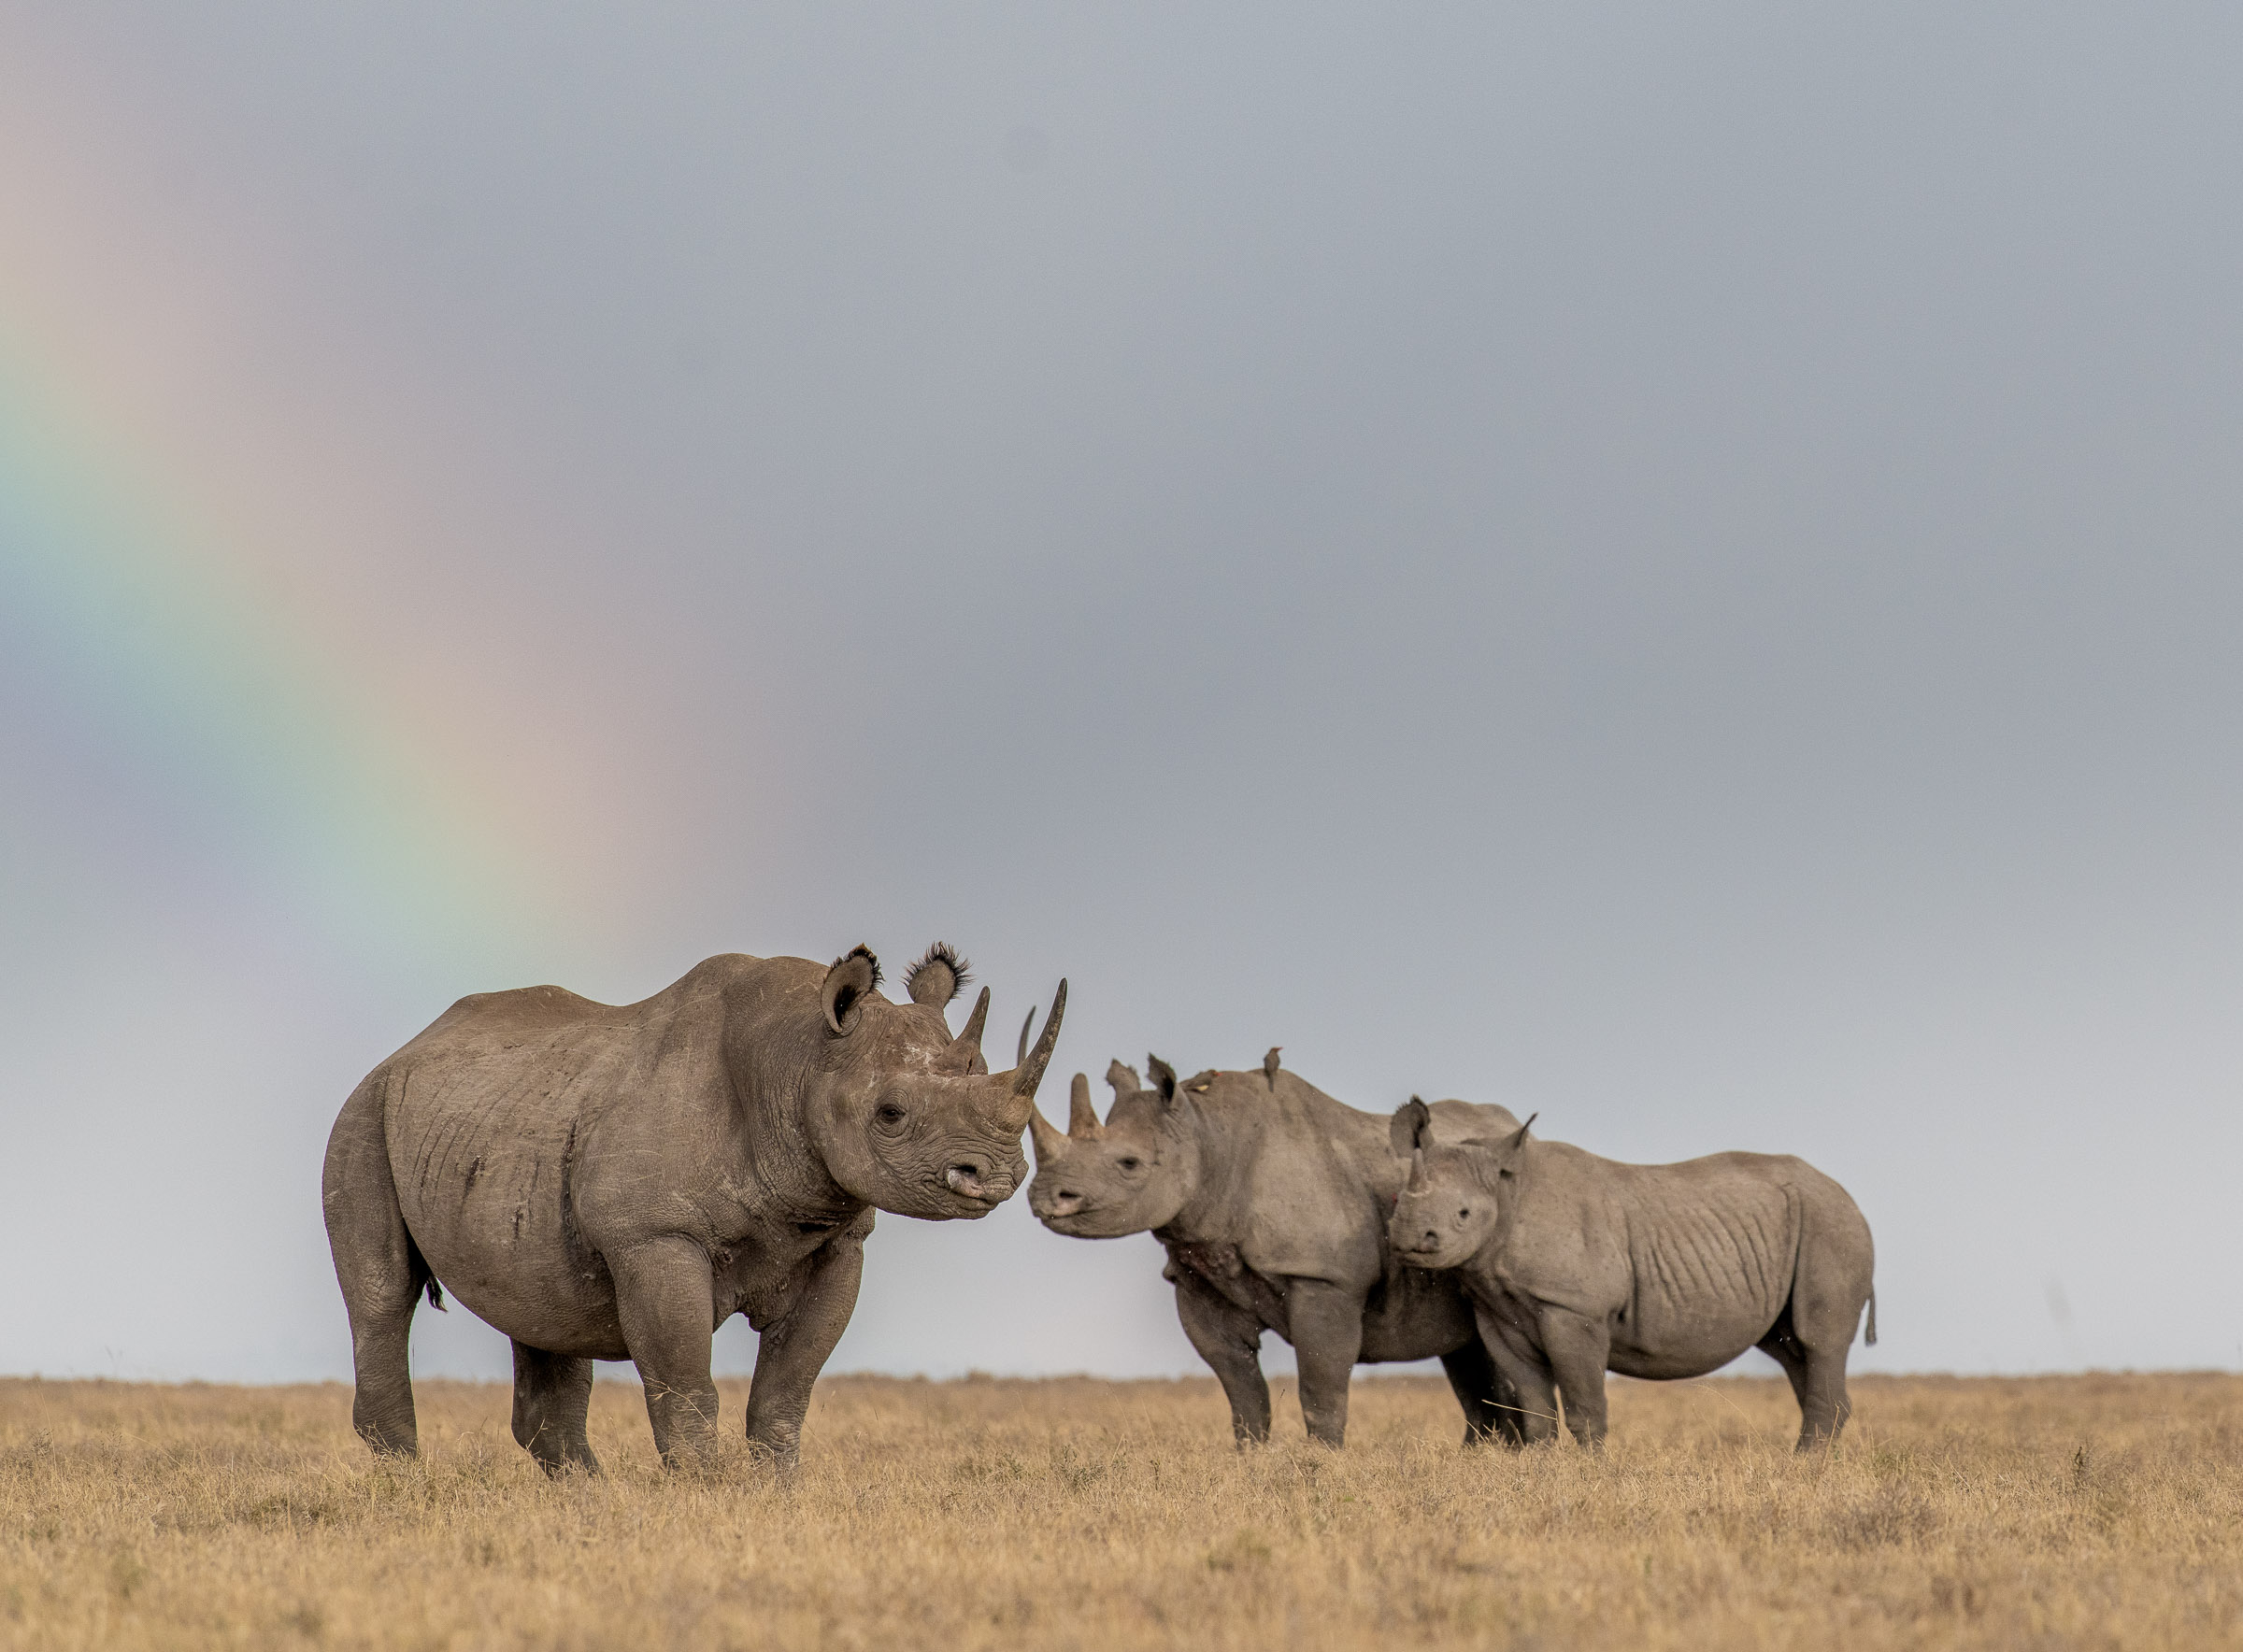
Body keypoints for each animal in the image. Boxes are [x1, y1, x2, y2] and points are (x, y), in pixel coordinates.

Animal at [322, 943, 1064, 1472]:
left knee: (542, 1307)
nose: (995, 1175)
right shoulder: (655, 1236)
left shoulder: (837, 1242)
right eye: (890, 1113)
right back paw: (409, 1487)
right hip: (362, 1116)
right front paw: (705, 1497)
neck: (800, 1060)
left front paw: (777, 1494)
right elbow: (683, 1385)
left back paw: (589, 1499)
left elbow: (785, 1392)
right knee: (383, 1296)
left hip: (509, 1117)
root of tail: (406, 1049)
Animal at [1026, 1057, 1527, 1449]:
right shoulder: (1197, 1279)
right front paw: (1250, 1458)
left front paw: (1323, 1461)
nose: (1045, 1197)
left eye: (1129, 1164)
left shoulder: (1323, 1276)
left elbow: (1321, 1383)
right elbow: (1241, 1386)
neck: (1208, 1138)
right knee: (1468, 1354)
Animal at [1385, 1099, 1876, 1452]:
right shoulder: (1498, 1313)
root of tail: (1847, 1197)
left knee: (1818, 1340)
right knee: (1791, 1348)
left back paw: (1805, 1467)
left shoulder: (1573, 1308)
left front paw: (1589, 1474)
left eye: (1464, 1215)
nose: (1407, 1237)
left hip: (1832, 1225)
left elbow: (1585, 1407)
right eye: (1398, 1202)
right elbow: (1536, 1409)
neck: (1507, 1193)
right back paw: (1807, 1463)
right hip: (1812, 1225)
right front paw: (1538, 1470)